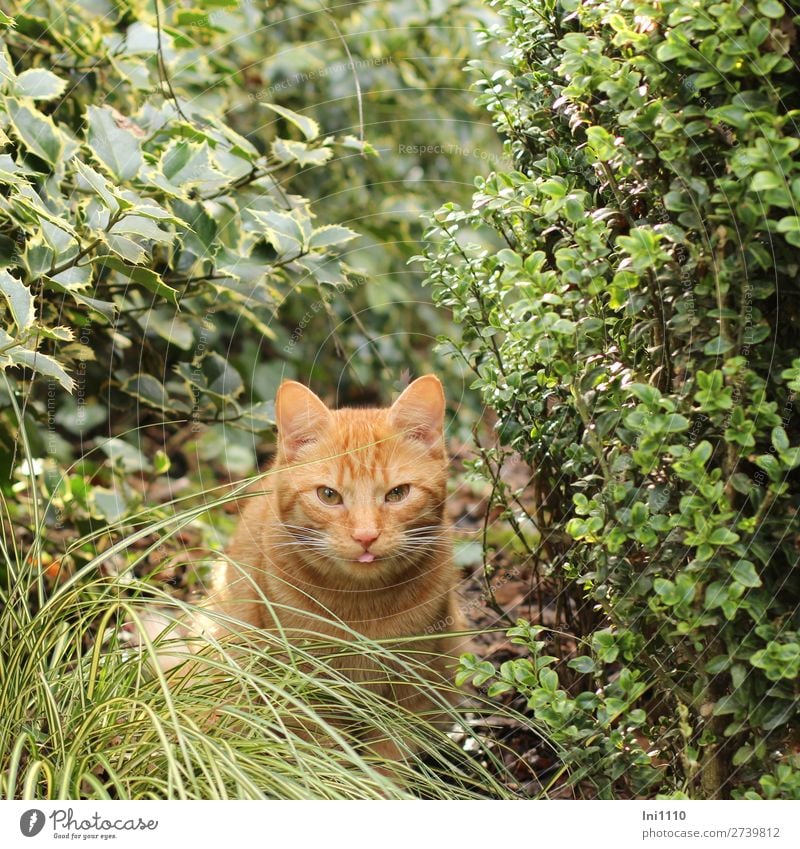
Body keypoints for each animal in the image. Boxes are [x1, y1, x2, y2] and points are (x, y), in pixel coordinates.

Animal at [197, 372, 466, 756]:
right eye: (328, 495)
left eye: (397, 494)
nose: (366, 536)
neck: (361, 609)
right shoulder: (305, 687)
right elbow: (324, 750)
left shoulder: (412, 682)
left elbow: (390, 756)